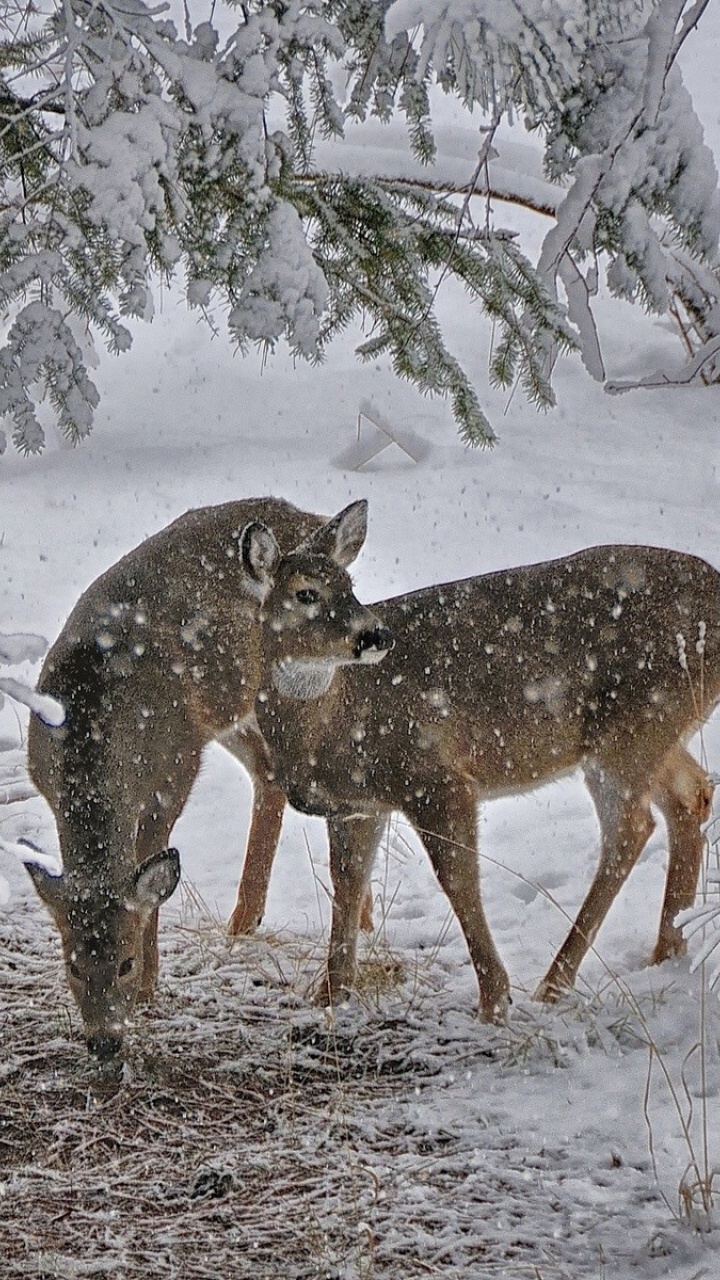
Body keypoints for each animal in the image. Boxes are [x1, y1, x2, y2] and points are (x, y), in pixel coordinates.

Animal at [22, 494, 386, 1064]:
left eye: (124, 962)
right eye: (73, 965)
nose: (104, 1042)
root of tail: (306, 517)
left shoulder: (174, 770)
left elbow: (151, 875)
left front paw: (149, 989)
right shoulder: (43, 778)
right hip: (232, 707)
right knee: (268, 773)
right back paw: (250, 920)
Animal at [242, 537, 717, 1018]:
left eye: (349, 585)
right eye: (306, 593)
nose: (376, 635)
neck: (330, 720)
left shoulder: (436, 777)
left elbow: (457, 878)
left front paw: (494, 999)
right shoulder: (357, 805)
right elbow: (347, 882)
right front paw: (330, 994)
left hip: (633, 727)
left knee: (631, 829)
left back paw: (554, 983)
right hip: (654, 732)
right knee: (691, 793)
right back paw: (667, 950)